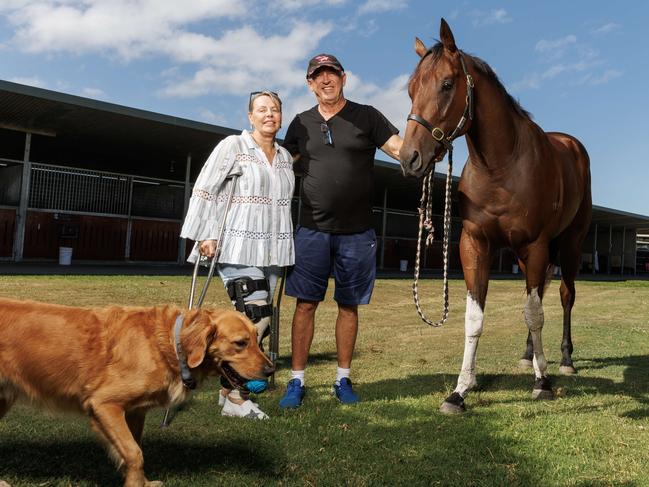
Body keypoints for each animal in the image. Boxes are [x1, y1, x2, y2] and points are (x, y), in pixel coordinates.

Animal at [0, 298, 272, 487]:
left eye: (257, 337)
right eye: (241, 343)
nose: (270, 370)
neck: (168, 344)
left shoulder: (135, 412)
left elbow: (135, 448)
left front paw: (142, 482)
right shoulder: (103, 404)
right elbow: (134, 453)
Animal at [398, 20, 588, 416]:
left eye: (446, 84)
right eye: (410, 89)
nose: (410, 158)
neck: (502, 166)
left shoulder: (536, 244)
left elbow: (535, 313)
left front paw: (543, 383)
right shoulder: (476, 244)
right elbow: (477, 317)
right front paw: (460, 390)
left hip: (570, 245)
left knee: (564, 296)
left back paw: (564, 360)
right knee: (539, 296)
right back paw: (529, 356)